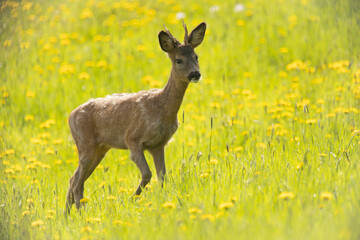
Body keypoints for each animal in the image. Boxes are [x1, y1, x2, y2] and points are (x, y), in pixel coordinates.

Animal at [64, 21, 205, 213]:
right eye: (178, 60)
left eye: (196, 56)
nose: (195, 74)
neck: (161, 108)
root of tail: (71, 115)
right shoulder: (133, 139)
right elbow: (147, 173)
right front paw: (131, 199)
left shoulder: (159, 145)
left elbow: (162, 176)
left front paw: (161, 199)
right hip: (85, 144)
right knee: (77, 182)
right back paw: (81, 212)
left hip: (100, 148)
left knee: (74, 178)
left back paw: (68, 214)